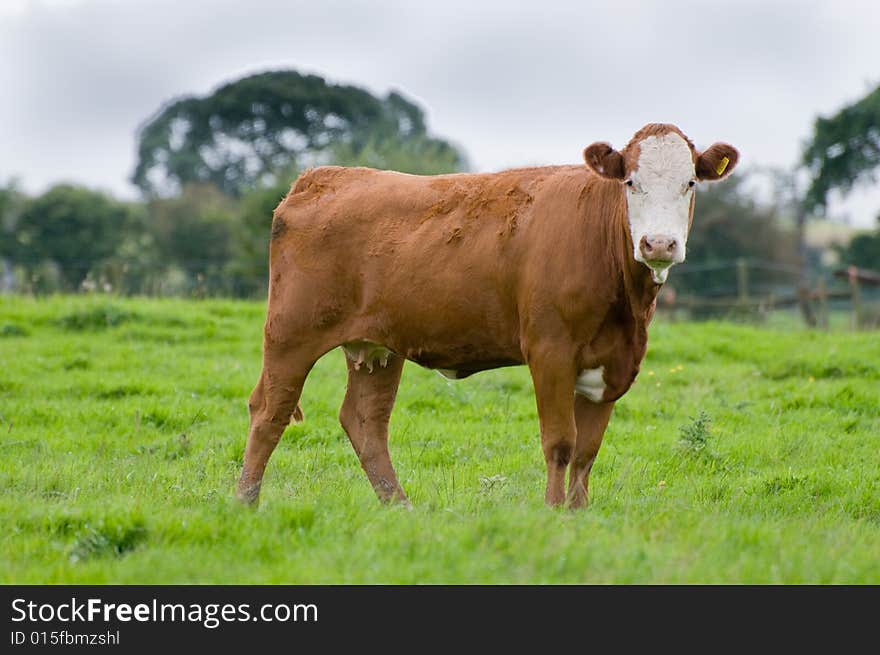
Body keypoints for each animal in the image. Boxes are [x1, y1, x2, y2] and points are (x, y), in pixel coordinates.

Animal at [237, 125, 740, 510]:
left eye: (690, 184)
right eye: (631, 183)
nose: (659, 244)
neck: (626, 307)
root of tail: (322, 176)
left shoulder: (613, 363)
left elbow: (587, 452)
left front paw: (579, 515)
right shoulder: (550, 351)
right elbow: (561, 442)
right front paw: (552, 513)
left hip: (379, 346)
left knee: (364, 421)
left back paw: (401, 508)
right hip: (291, 331)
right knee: (270, 409)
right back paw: (246, 502)